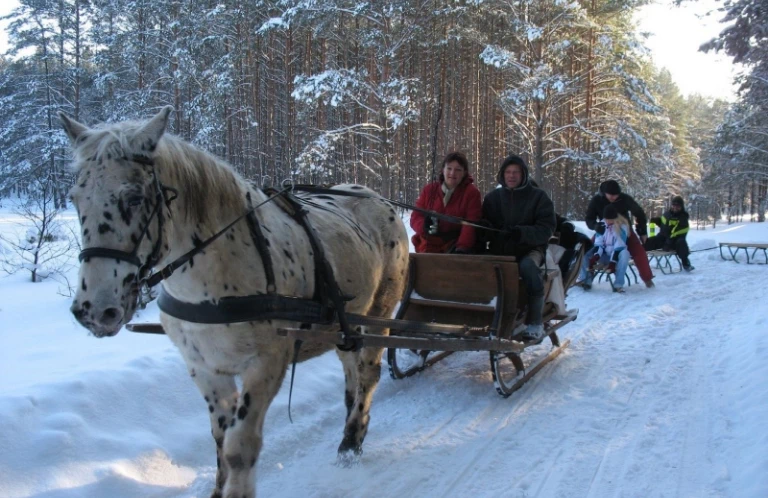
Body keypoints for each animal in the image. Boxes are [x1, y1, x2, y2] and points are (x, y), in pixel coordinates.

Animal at [60, 107, 412, 496]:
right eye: (75, 199)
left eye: (134, 198)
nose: (95, 309)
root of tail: (378, 199)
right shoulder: (205, 367)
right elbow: (220, 440)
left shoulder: (267, 363)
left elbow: (240, 446)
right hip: (343, 324)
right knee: (351, 373)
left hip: (379, 312)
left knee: (368, 374)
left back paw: (353, 441)